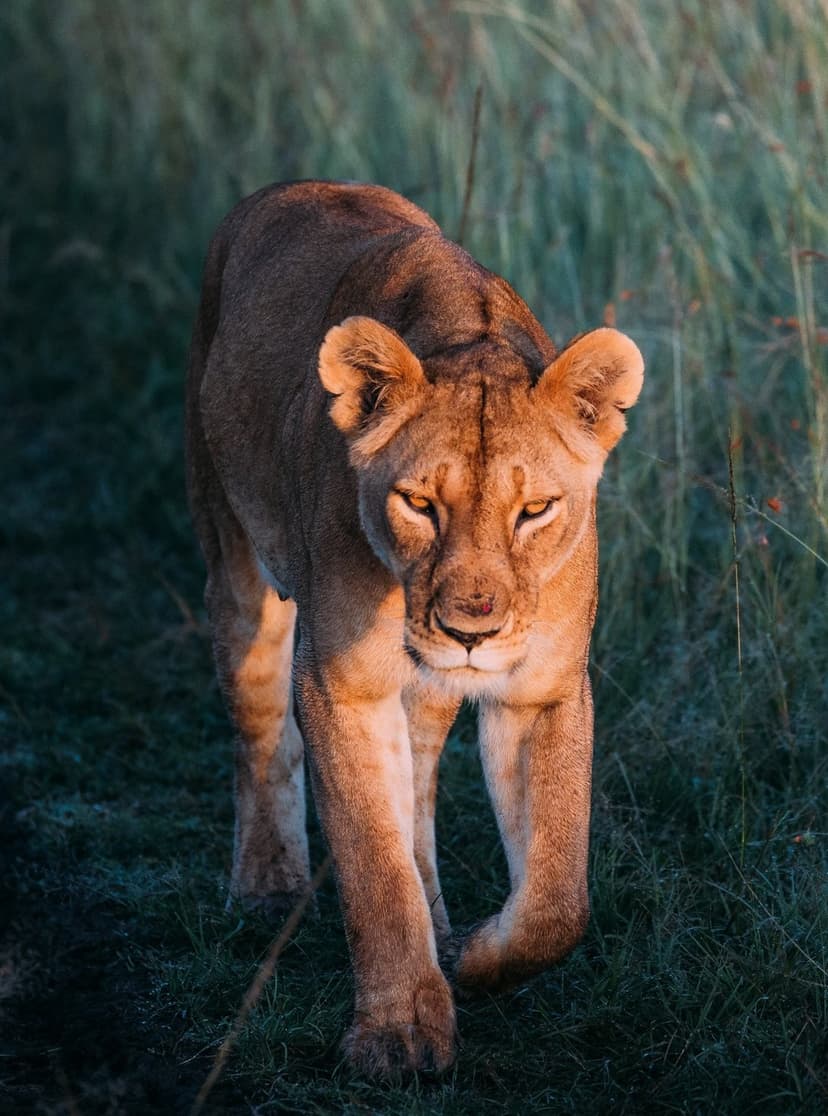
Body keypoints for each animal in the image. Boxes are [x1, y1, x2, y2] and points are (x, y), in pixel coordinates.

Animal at [185, 180, 644, 1078]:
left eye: (536, 509)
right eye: (419, 504)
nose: (471, 632)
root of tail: (284, 189)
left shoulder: (541, 691)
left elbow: (557, 897)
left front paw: (477, 956)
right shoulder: (341, 686)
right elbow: (373, 863)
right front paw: (398, 1033)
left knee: (421, 791)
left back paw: (439, 923)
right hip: (235, 556)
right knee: (260, 730)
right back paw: (266, 881)